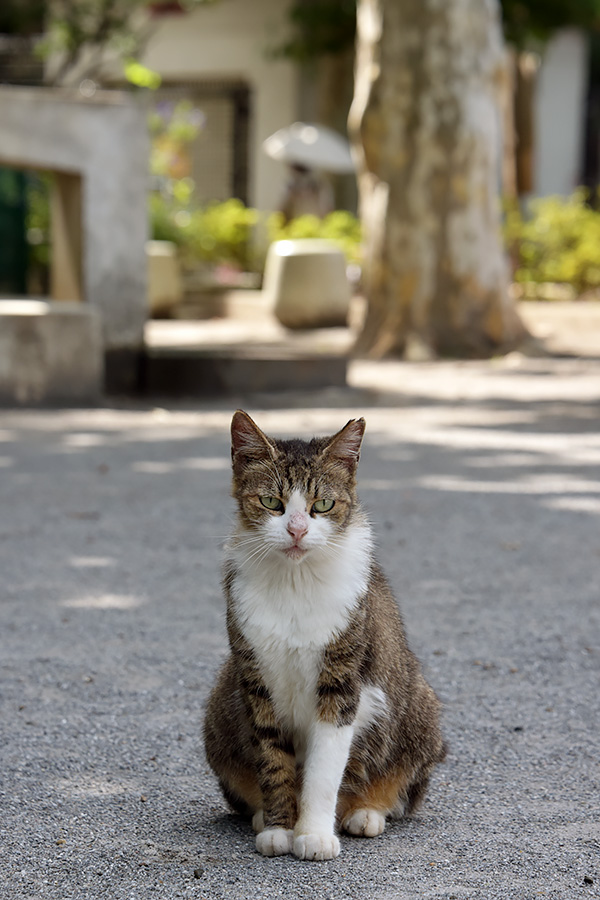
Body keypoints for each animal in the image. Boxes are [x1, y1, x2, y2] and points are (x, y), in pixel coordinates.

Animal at [206, 412, 446, 860]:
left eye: (322, 505)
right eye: (272, 503)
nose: (297, 530)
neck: (296, 581)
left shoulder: (342, 682)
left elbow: (323, 768)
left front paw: (314, 833)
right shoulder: (255, 679)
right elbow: (273, 759)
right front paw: (280, 828)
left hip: (421, 708)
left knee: (397, 787)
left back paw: (364, 812)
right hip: (219, 704)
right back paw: (263, 815)